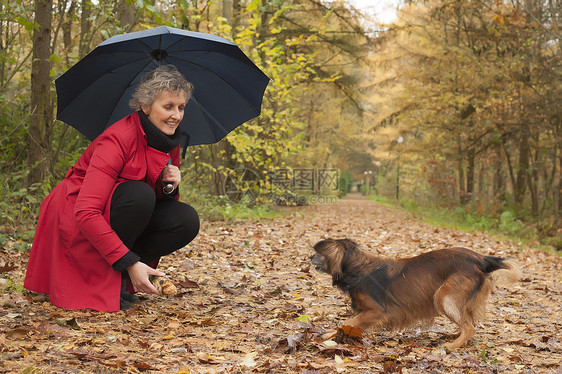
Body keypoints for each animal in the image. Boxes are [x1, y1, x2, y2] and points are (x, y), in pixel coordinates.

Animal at [308, 240, 520, 348]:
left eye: (318, 253)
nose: (309, 257)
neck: (357, 269)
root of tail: (481, 258)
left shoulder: (377, 311)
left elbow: (347, 323)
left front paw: (326, 334)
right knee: (469, 322)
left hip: (444, 297)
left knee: (469, 327)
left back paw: (451, 346)